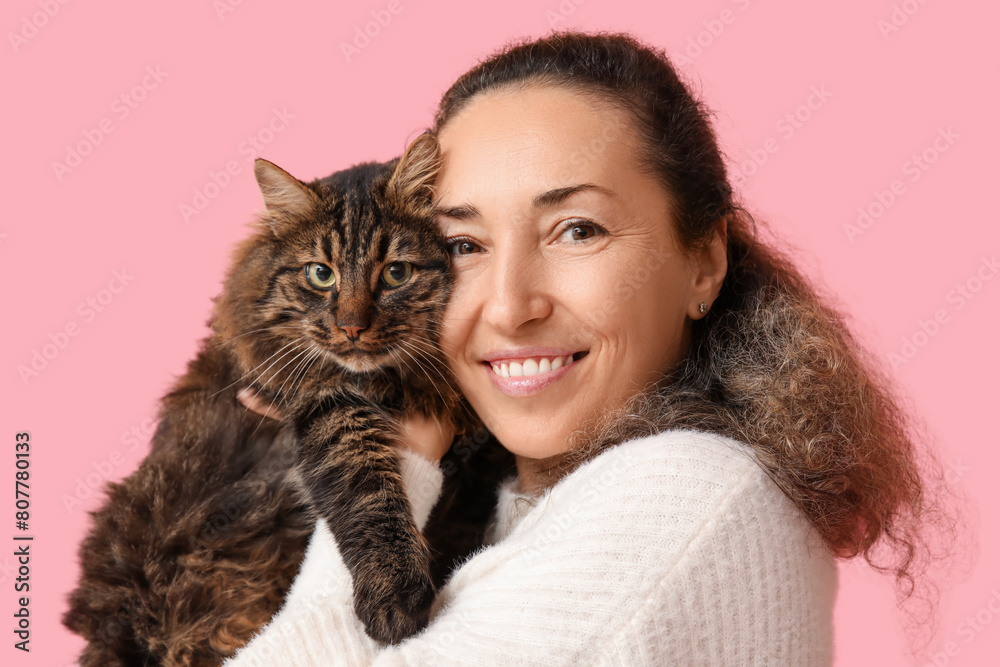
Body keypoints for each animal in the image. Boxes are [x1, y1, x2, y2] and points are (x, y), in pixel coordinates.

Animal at [63, 133, 512, 664]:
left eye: (396, 273)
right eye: (321, 274)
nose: (351, 327)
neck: (389, 381)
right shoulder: (324, 407)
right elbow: (369, 499)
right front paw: (394, 599)